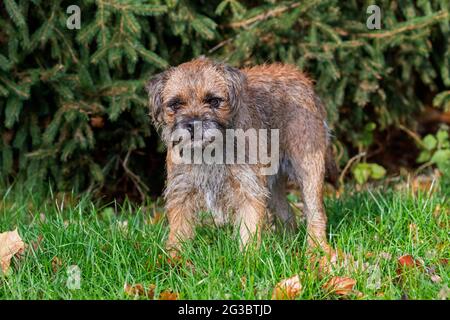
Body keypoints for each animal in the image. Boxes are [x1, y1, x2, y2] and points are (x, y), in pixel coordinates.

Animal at [147, 57, 338, 256]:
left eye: (214, 101)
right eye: (175, 104)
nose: (193, 124)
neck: (210, 151)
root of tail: (302, 77)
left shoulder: (249, 189)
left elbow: (249, 232)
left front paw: (248, 258)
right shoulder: (181, 192)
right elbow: (179, 233)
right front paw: (173, 260)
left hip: (308, 169)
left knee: (315, 212)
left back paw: (317, 250)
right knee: (287, 212)